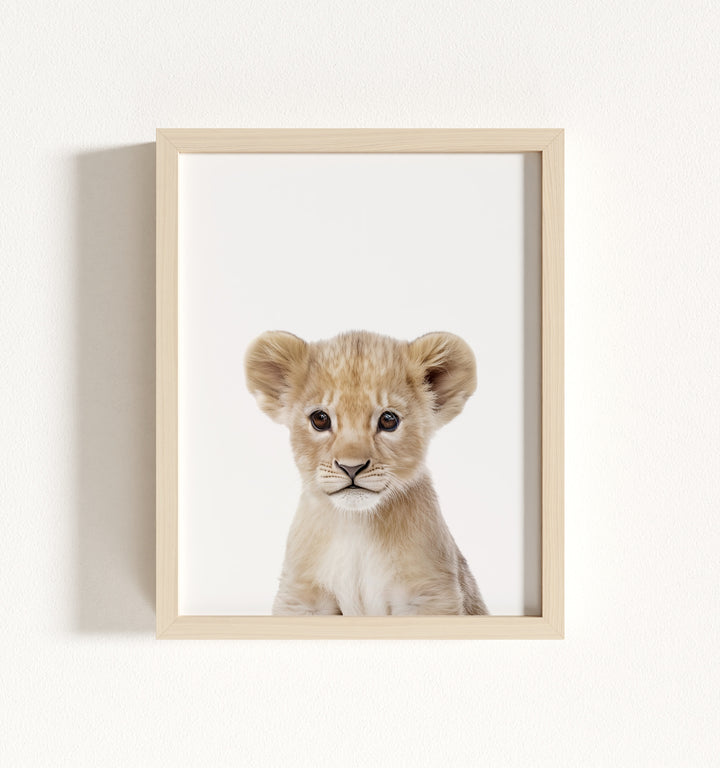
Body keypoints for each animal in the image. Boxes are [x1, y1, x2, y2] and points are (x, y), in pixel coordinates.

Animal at [245, 329, 488, 616]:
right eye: (320, 419)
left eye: (388, 420)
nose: (351, 467)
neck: (357, 526)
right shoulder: (301, 597)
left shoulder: (430, 593)